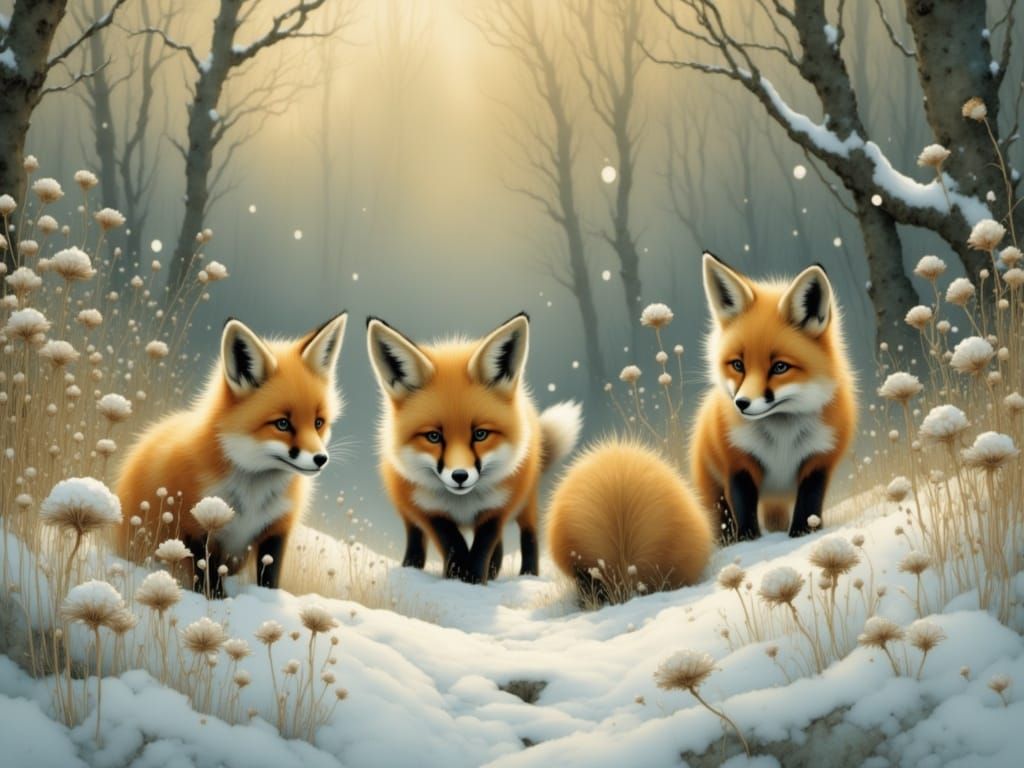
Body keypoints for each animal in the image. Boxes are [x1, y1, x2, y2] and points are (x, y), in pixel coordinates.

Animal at [116, 312, 348, 593]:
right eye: (282, 424)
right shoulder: (195, 525)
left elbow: (269, 579)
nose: (320, 459)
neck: (252, 495)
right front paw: (216, 597)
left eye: (318, 423)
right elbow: (207, 575)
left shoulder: (277, 529)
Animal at [367, 312, 582, 584]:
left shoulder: (498, 507)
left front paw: (474, 579)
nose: (460, 476)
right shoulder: (427, 509)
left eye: (480, 434)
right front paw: (458, 576)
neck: (463, 504)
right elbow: (453, 543)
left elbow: (483, 546)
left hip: (526, 503)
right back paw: (412, 567)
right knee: (416, 537)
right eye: (434, 437)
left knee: (528, 535)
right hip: (407, 510)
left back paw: (527, 575)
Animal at [691, 252, 856, 541]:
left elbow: (809, 507)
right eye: (738, 365)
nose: (741, 404)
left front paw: (803, 535)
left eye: (779, 367)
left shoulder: (820, 460)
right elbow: (744, 512)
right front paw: (748, 541)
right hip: (712, 491)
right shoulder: (738, 463)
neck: (782, 438)